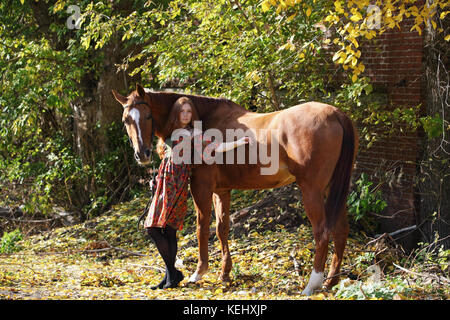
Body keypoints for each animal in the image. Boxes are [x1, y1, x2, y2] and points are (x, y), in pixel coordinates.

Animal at [111, 83, 358, 296]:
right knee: (341, 230)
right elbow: (222, 229)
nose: (141, 154)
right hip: (334, 188)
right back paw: (331, 281)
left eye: (148, 116)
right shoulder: (221, 191)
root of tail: (336, 113)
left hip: (312, 189)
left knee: (322, 232)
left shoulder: (201, 187)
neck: (204, 121)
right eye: (125, 120)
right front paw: (225, 274)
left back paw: (312, 284)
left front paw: (199, 273)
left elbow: (202, 227)